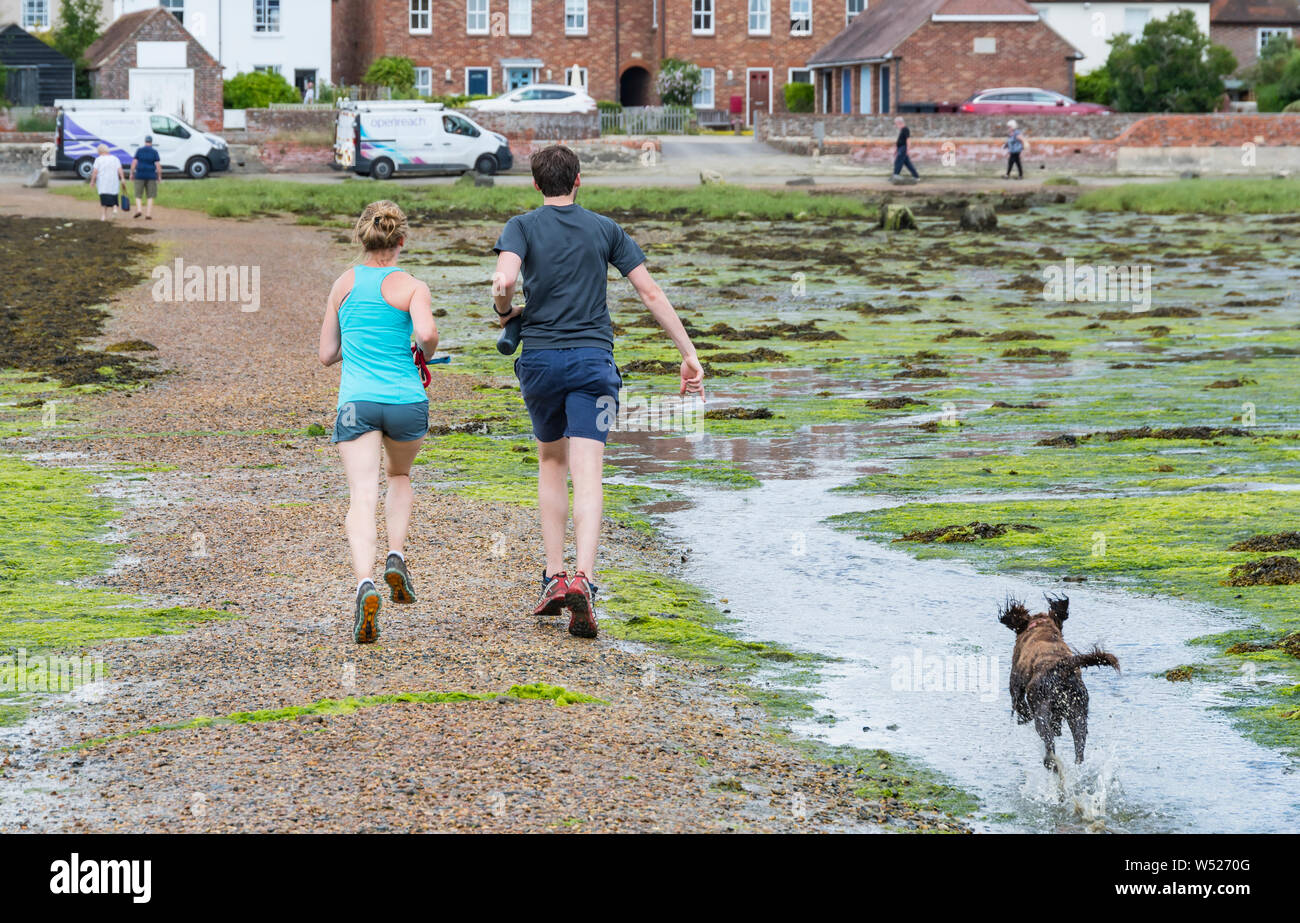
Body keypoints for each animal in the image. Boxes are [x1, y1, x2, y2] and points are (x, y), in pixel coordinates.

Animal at [1003, 595, 1118, 769]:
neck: (1041, 627)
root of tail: (1063, 667)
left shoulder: (1016, 683)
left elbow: (1020, 706)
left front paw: (1022, 718)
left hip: (1042, 711)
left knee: (1049, 744)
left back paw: (1052, 763)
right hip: (1078, 714)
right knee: (1079, 749)